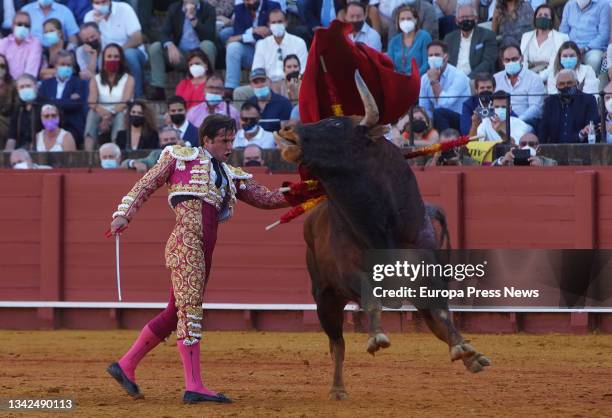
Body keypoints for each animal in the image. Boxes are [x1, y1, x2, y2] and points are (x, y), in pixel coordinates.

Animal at [274, 73, 490, 400]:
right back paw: (337, 388)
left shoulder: (428, 274)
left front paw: (465, 349)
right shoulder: (350, 274)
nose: (286, 129)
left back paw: (471, 355)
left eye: (335, 125)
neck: (380, 224)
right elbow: (370, 298)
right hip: (324, 297)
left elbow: (443, 315)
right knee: (337, 343)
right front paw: (376, 336)